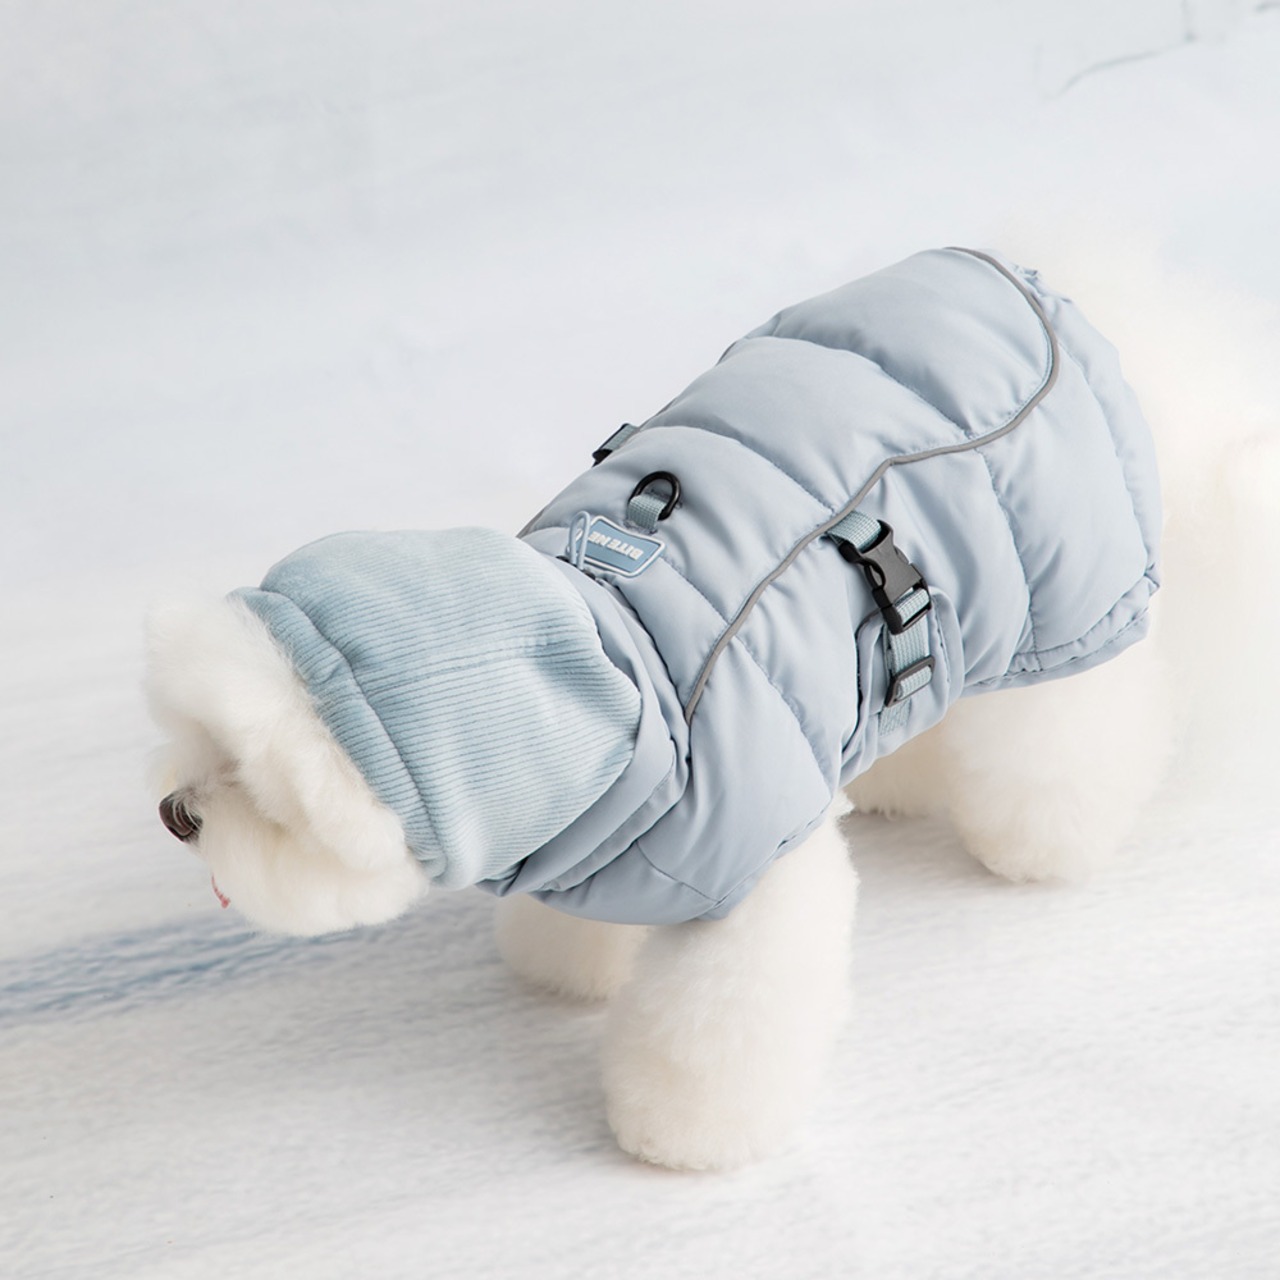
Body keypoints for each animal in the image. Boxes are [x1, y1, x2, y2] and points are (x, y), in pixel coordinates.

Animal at [147, 245, 1279, 1170]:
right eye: (195, 739)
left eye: (261, 791)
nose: (175, 814)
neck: (622, 668)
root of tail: (1068, 293)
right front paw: (564, 966)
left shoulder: (753, 875)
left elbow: (718, 1027)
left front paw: (677, 1137)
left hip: (1067, 604)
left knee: (1077, 731)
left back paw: (1043, 844)